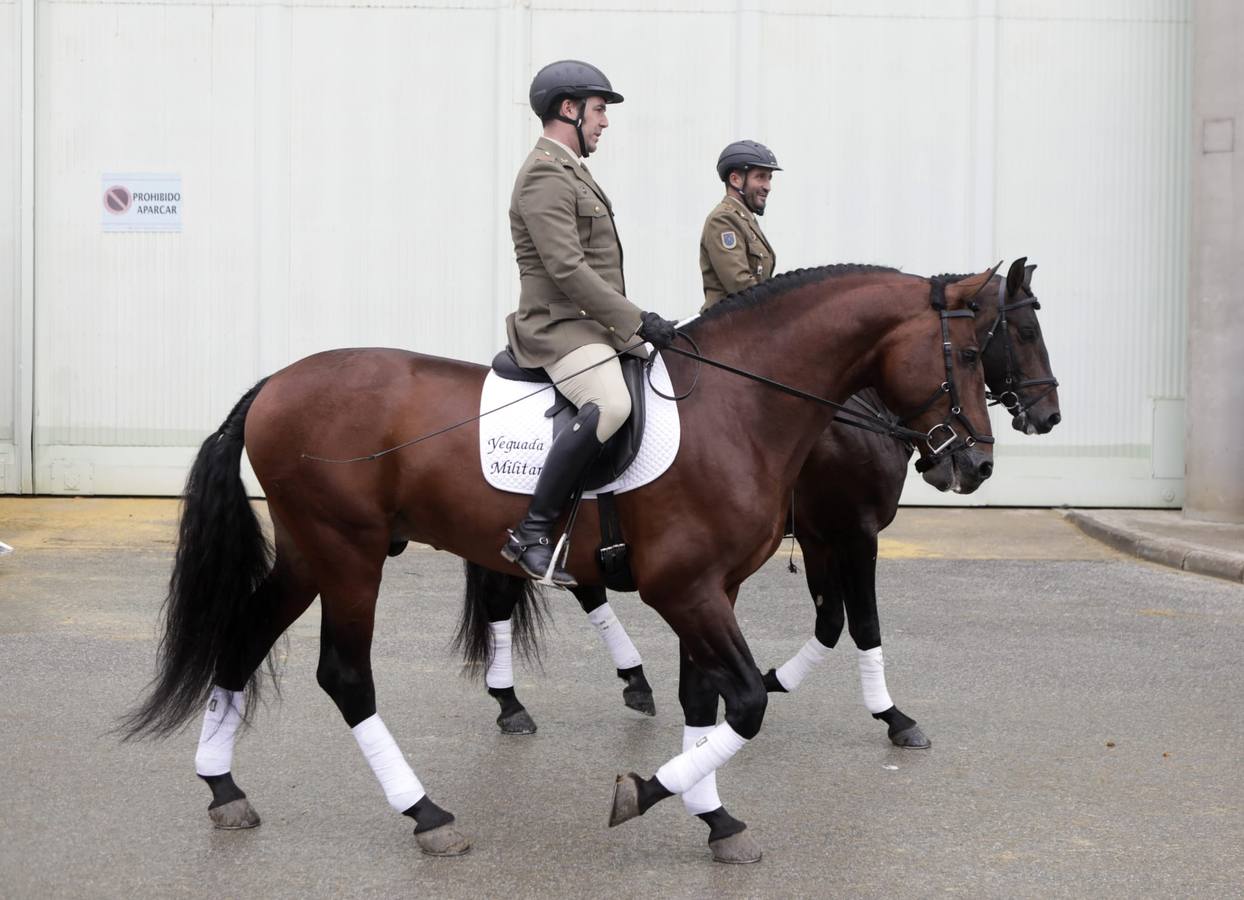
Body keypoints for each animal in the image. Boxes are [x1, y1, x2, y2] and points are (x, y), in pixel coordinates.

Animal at [121, 262, 998, 862]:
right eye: (970, 357)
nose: (976, 465)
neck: (739, 408)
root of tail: (276, 381)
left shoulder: (710, 590)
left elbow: (706, 702)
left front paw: (714, 819)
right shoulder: (692, 589)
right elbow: (747, 702)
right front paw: (643, 794)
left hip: (311, 553)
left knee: (244, 637)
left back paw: (224, 788)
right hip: (347, 553)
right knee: (344, 676)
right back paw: (427, 814)